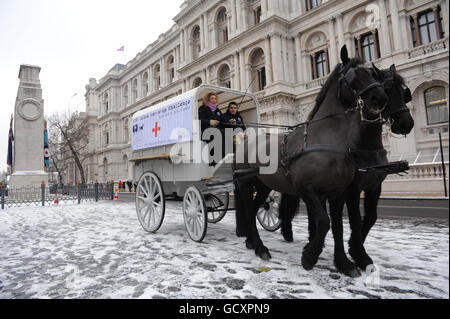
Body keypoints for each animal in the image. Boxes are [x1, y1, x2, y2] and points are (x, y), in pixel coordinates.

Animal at [236, 46, 386, 274]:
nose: (380, 98)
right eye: (353, 76)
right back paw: (261, 248)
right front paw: (309, 256)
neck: (325, 139)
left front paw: (343, 262)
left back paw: (253, 243)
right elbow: (323, 222)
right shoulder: (307, 190)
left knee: (252, 210)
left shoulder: (338, 192)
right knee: (247, 210)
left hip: (263, 185)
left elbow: (337, 226)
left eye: (372, 73)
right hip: (245, 183)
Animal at [278, 63, 414, 276]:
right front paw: (356, 252)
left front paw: (356, 250)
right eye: (388, 90)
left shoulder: (374, 185)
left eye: (404, 93)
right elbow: (355, 219)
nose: (406, 123)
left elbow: (370, 218)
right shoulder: (353, 188)